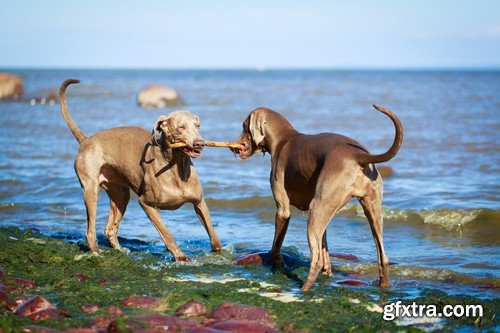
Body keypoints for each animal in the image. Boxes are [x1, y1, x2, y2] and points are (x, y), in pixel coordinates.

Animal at [59, 78, 222, 260]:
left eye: (197, 125)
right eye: (181, 127)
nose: (200, 143)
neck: (176, 166)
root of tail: (86, 140)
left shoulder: (199, 201)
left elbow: (213, 234)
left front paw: (220, 253)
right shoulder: (146, 203)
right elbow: (167, 234)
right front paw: (180, 257)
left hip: (120, 194)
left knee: (110, 229)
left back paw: (120, 250)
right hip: (91, 190)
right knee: (90, 230)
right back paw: (96, 252)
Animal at [231, 105, 402, 290]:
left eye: (244, 126)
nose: (234, 147)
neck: (283, 139)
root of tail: (358, 155)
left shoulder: (283, 210)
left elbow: (277, 244)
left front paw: (276, 265)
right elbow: (324, 244)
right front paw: (328, 272)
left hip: (317, 208)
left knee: (316, 260)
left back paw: (303, 289)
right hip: (367, 209)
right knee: (383, 257)